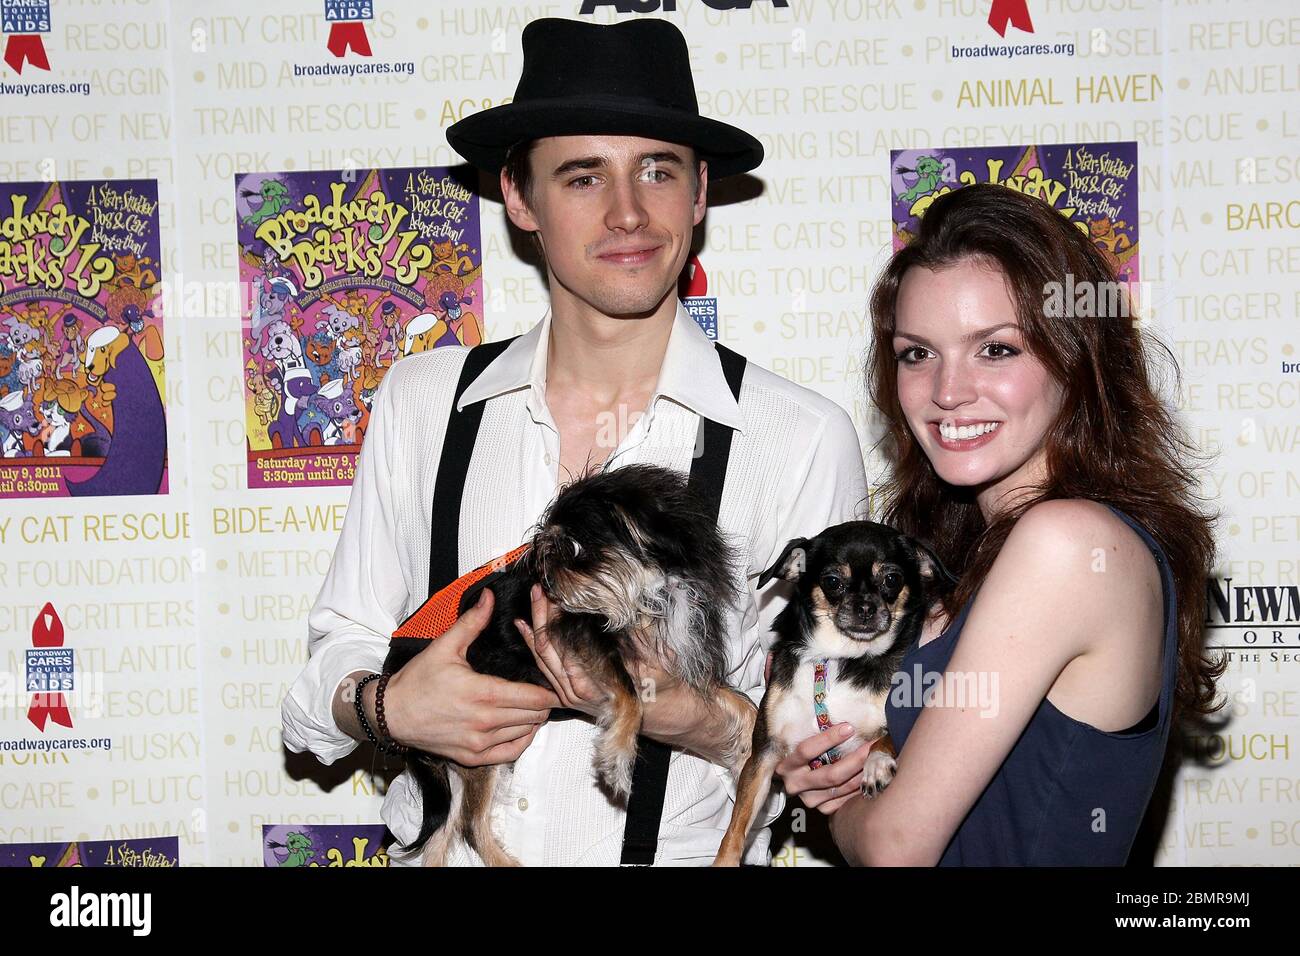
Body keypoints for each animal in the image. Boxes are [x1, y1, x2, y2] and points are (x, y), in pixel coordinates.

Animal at [379, 463, 759, 868]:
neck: (652, 591)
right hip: (477, 751)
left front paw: (748, 755)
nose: (547, 579)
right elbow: (631, 696)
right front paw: (618, 756)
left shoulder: (678, 658)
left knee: (441, 835)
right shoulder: (582, 633)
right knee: (470, 825)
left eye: (574, 548)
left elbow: (742, 703)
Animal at [712, 522, 956, 868]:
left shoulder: (898, 725)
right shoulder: (764, 754)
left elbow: (883, 741)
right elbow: (737, 824)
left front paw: (876, 765)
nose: (866, 606)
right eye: (833, 582)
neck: (841, 658)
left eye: (891, 580)